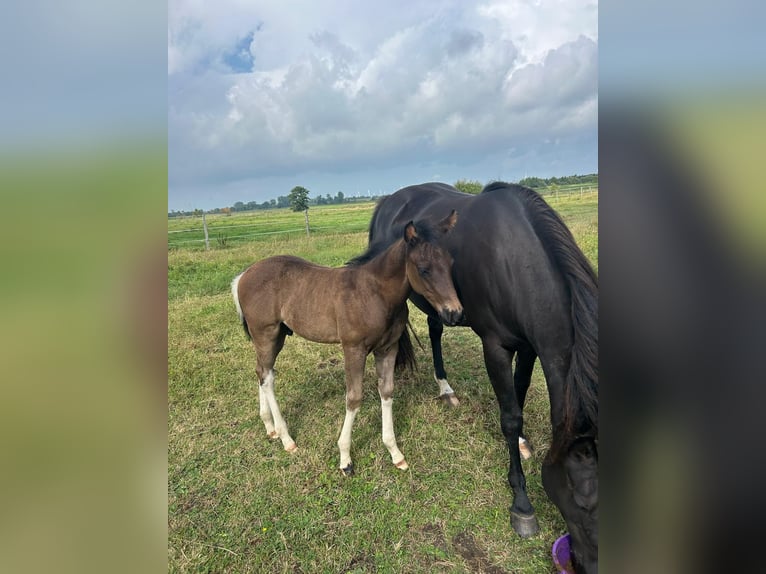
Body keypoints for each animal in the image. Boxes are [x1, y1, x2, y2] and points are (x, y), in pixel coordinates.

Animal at [231, 211, 464, 476]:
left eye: (450, 263)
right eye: (424, 269)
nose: (454, 313)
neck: (375, 293)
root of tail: (243, 275)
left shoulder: (388, 348)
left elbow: (387, 391)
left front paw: (395, 453)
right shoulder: (354, 349)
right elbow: (353, 398)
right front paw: (345, 459)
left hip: (277, 335)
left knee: (261, 371)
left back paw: (270, 427)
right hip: (266, 333)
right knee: (267, 377)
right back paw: (286, 438)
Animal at [367, 182, 598, 573]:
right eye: (583, 503)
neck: (515, 261)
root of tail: (389, 201)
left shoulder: (529, 346)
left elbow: (518, 396)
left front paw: (521, 442)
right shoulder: (496, 347)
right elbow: (509, 416)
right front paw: (521, 502)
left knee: (434, 328)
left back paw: (446, 387)